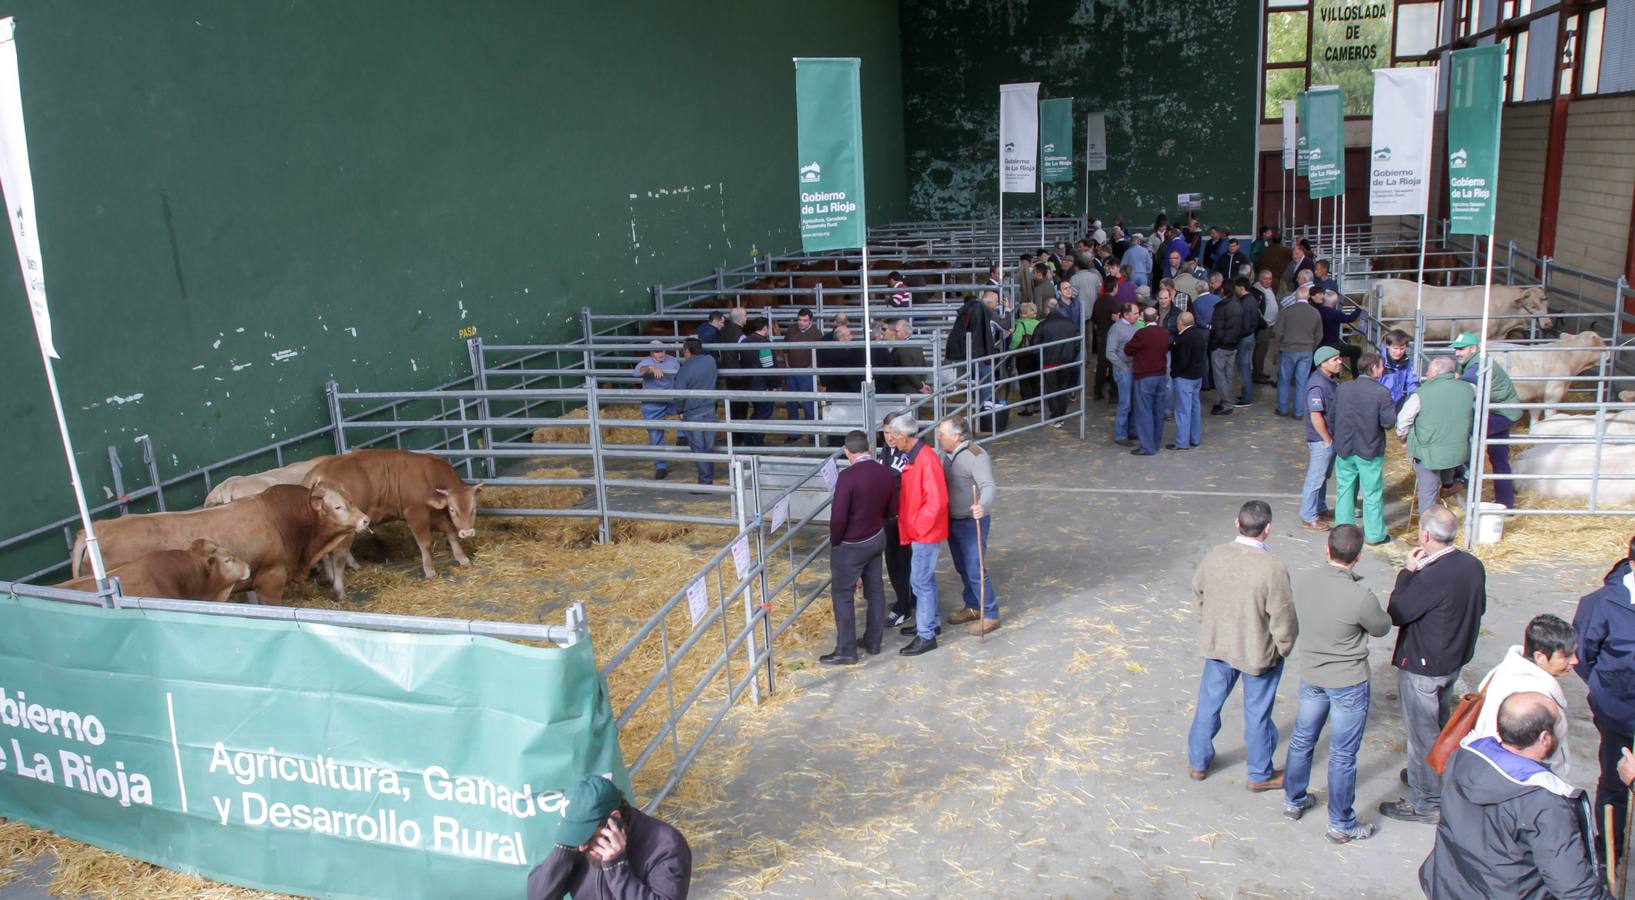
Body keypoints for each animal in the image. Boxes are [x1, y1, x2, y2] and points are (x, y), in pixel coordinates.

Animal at [302, 448, 480, 592]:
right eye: (452, 509)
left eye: (474, 508)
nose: (467, 532)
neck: (430, 476)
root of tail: (318, 472)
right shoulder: (416, 513)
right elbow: (425, 543)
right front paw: (430, 571)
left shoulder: (436, 516)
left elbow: (451, 532)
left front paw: (462, 558)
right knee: (339, 554)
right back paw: (339, 588)